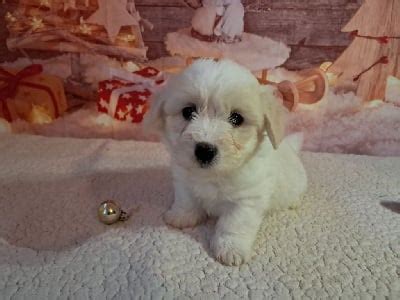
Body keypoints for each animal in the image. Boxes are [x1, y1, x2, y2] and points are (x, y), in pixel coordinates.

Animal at [145, 59, 308, 266]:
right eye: (188, 111)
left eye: (237, 118)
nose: (204, 150)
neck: (214, 174)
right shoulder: (184, 182)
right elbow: (186, 200)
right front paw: (181, 216)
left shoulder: (245, 201)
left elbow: (233, 225)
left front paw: (231, 249)